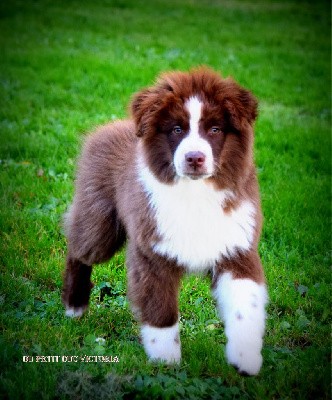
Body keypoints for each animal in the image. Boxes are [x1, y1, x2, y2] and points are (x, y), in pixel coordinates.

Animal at [62, 67, 268, 376]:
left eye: (215, 129)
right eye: (177, 130)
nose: (194, 158)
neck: (195, 194)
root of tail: (110, 127)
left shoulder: (237, 246)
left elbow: (247, 303)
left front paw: (245, 358)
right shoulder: (152, 251)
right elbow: (160, 309)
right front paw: (165, 361)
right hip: (98, 216)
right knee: (79, 248)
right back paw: (74, 307)